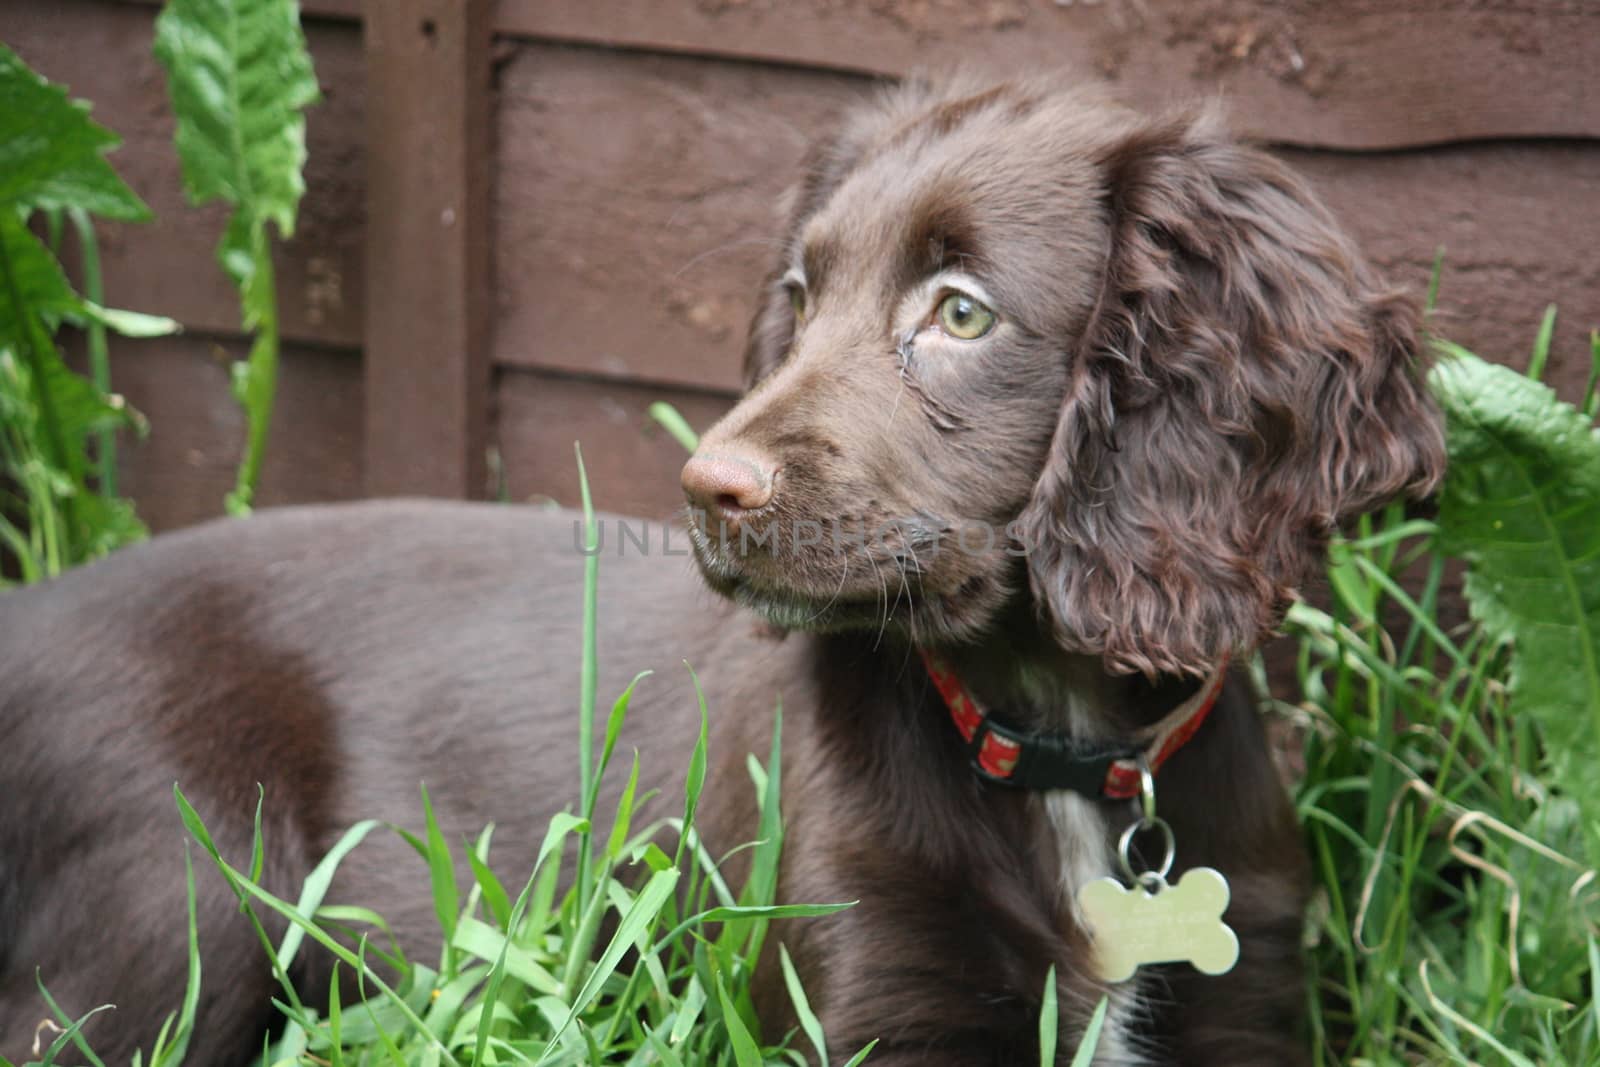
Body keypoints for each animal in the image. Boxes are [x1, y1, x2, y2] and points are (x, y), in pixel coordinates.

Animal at [0, 79, 1446, 1062]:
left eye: (961, 312)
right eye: (799, 296)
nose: (707, 488)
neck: (1056, 743)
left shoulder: (1245, 993)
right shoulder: (863, 991)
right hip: (180, 890)